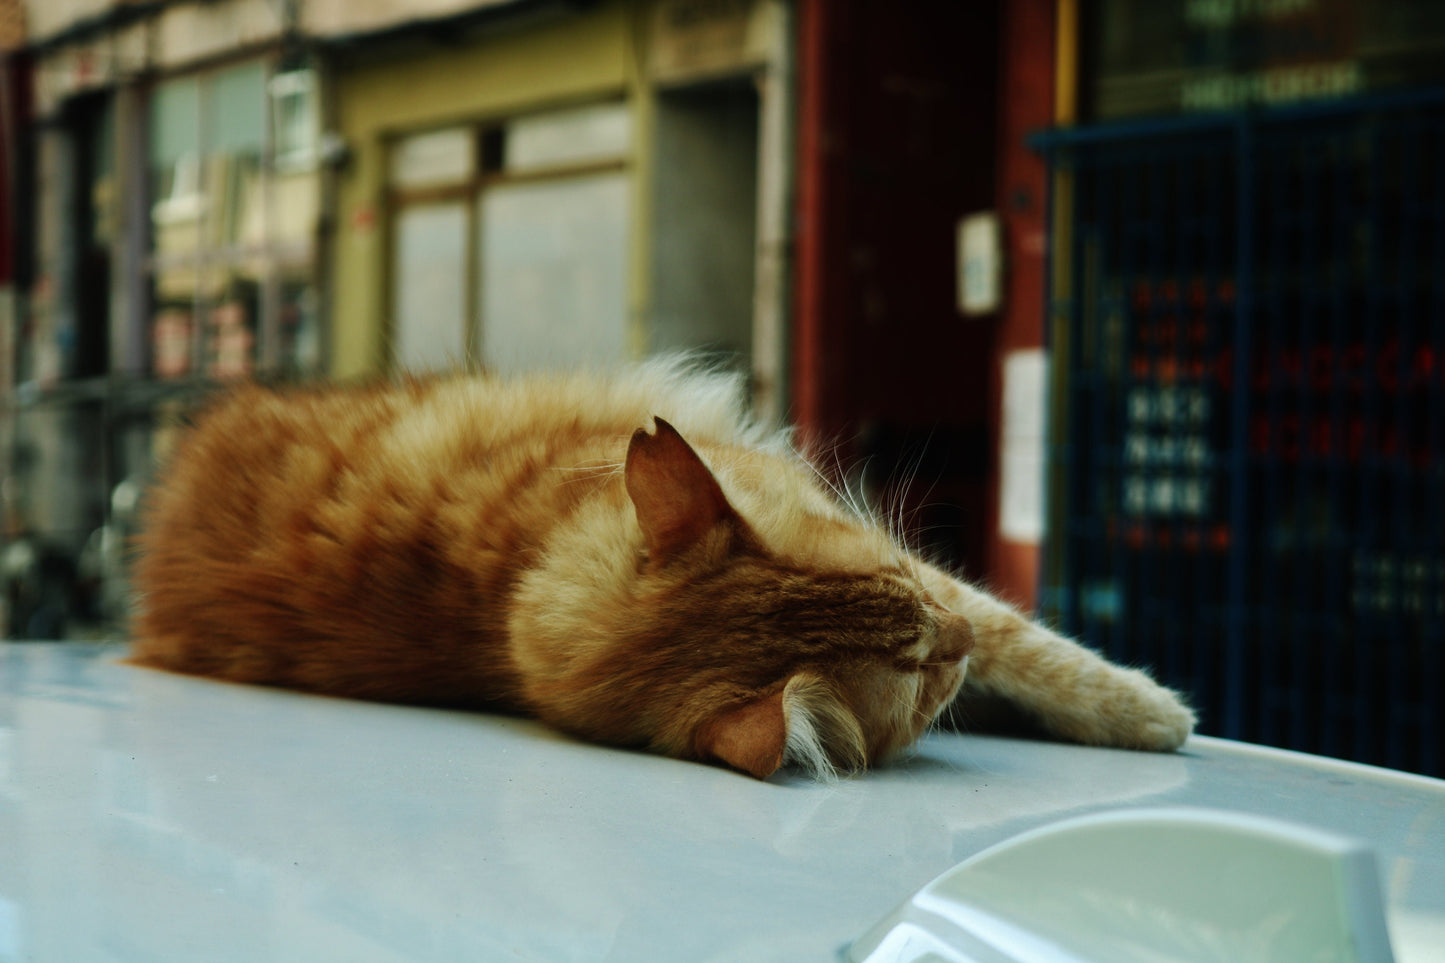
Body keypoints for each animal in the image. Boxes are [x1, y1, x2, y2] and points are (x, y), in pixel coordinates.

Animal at [132, 355, 1196, 775]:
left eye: (891, 566)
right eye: (922, 673)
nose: (959, 643)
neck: (502, 578)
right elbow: (1039, 644)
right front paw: (1153, 711)